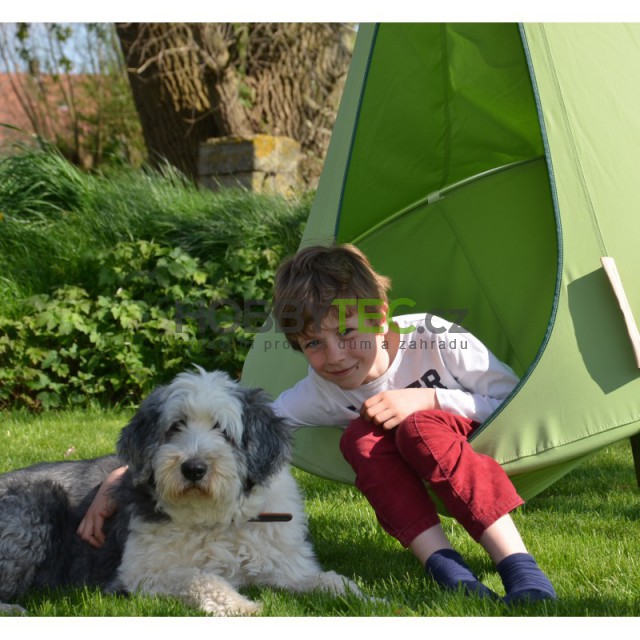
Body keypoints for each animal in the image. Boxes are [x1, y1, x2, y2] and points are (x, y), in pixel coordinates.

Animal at [0, 370, 360, 616]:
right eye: (175, 426)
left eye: (223, 430)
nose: (194, 468)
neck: (215, 518)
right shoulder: (141, 574)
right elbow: (201, 578)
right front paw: (245, 606)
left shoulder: (287, 566)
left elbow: (331, 581)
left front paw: (363, 597)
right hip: (36, 500)